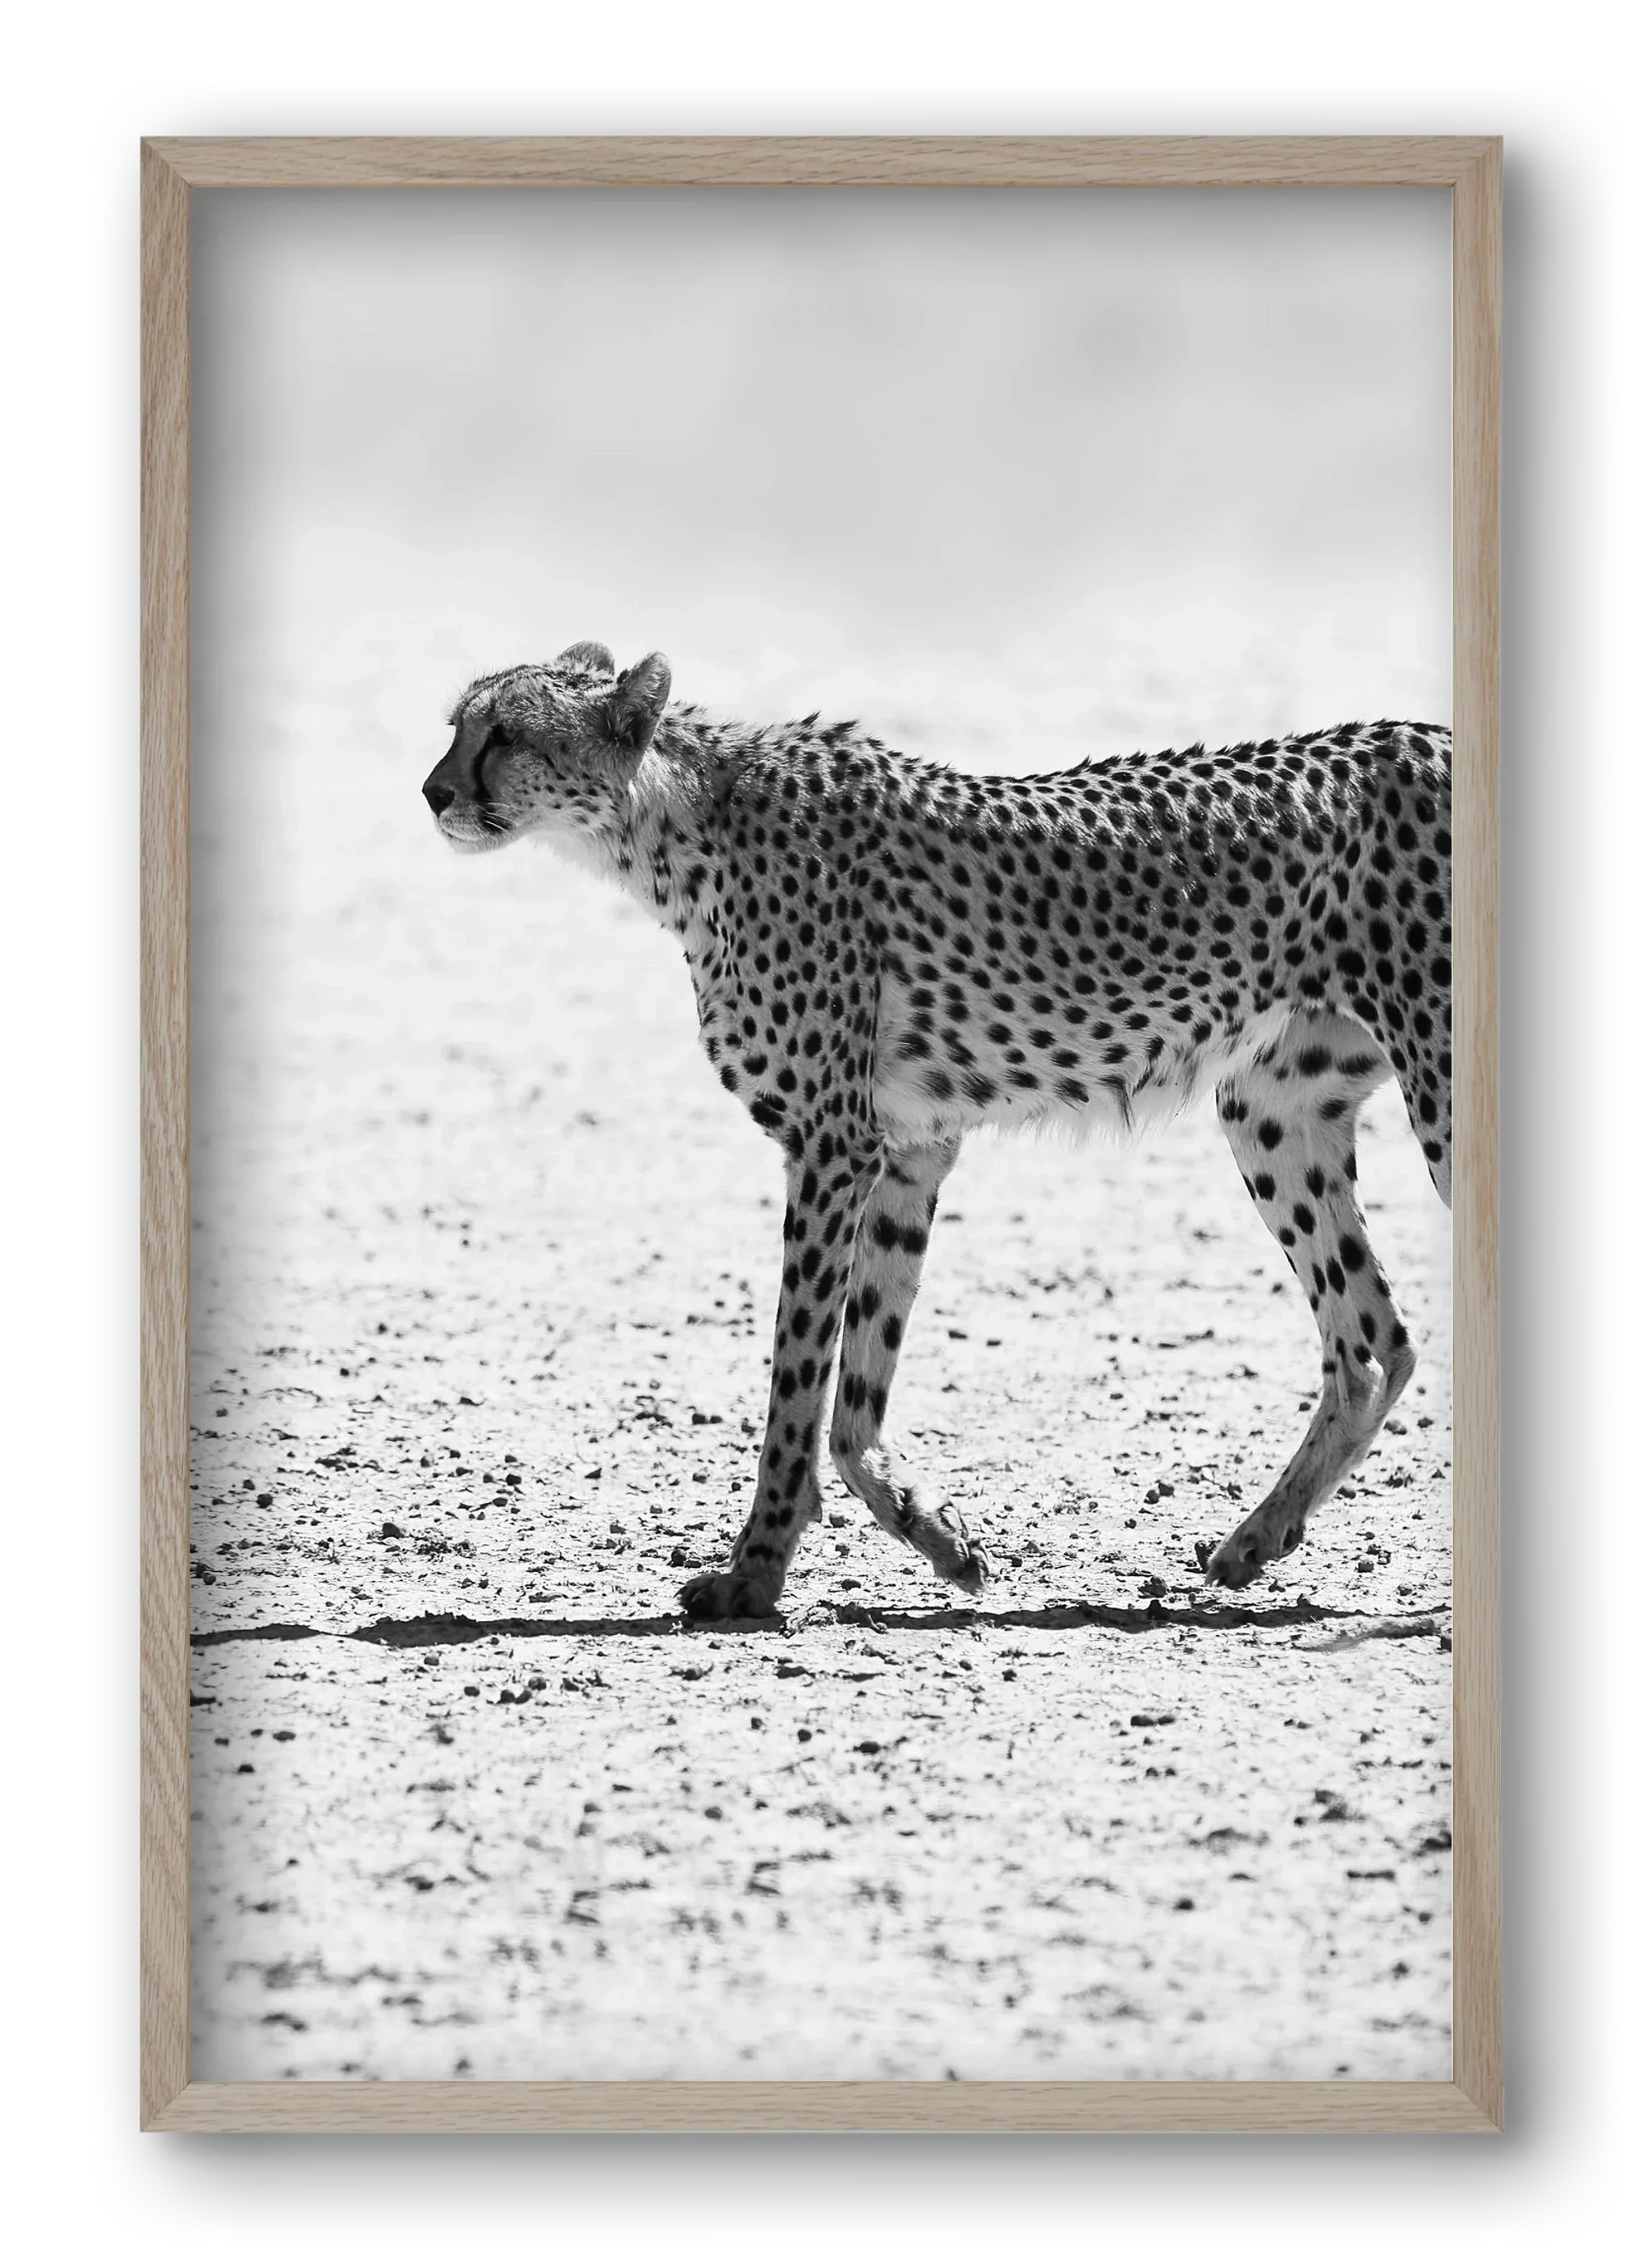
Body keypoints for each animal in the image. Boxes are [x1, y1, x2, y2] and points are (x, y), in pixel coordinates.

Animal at [422, 641, 1452, 1619]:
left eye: (506, 734)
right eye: (457, 725)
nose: (433, 792)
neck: (673, 824)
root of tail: (1427, 731)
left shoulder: (830, 1146)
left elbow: (796, 1380)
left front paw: (753, 1574)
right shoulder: (907, 1149)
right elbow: (854, 1395)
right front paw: (940, 1540)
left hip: (1435, 1092)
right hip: (1270, 1109)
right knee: (1371, 1342)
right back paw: (1254, 1541)